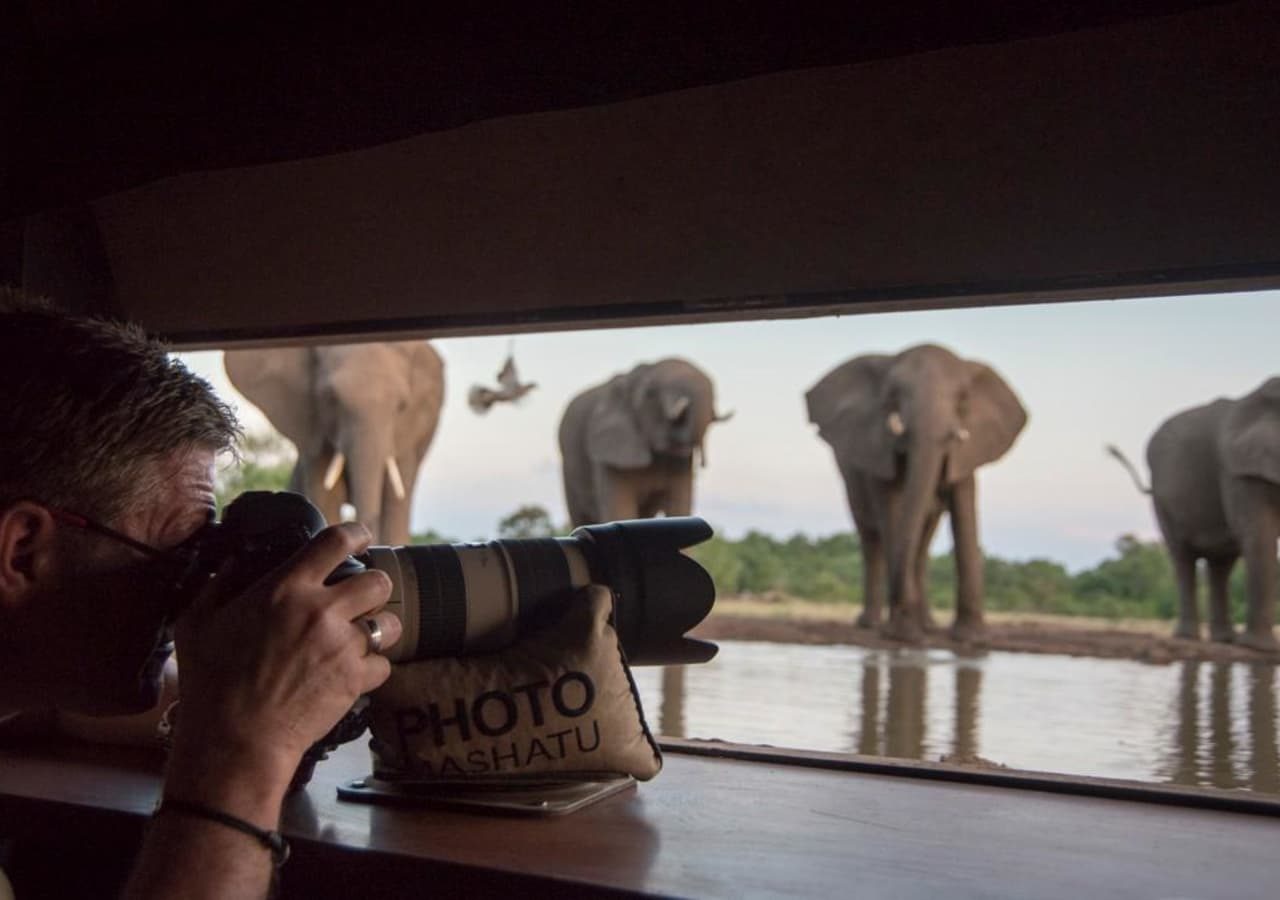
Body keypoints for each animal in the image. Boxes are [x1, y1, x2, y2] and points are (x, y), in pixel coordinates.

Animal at [808, 340, 1029, 645]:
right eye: (893, 395)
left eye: (962, 398)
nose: (901, 618)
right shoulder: (877, 447)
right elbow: (891, 510)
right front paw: (903, 634)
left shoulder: (968, 449)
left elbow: (963, 508)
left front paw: (971, 639)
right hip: (850, 478)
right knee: (871, 536)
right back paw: (873, 624)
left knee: (922, 543)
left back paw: (927, 624)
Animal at [1111, 376, 1280, 650]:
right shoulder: (1237, 468)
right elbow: (1259, 533)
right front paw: (1260, 648)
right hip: (1162, 497)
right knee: (1183, 557)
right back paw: (1189, 636)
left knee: (1222, 563)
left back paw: (1224, 639)